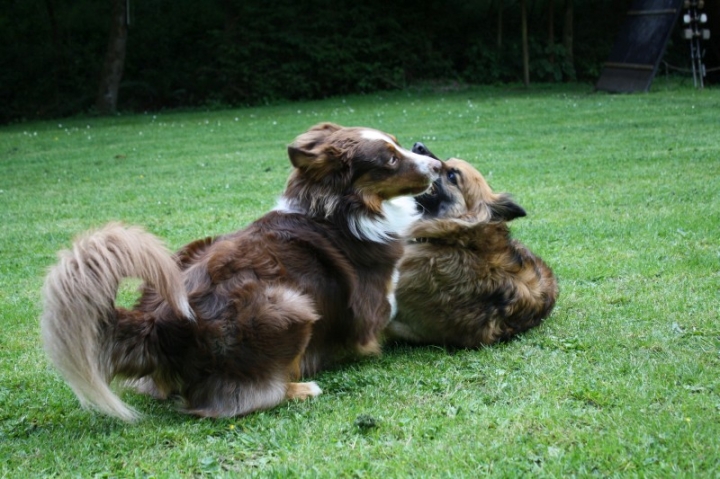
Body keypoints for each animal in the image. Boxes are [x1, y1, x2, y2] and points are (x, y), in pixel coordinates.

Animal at [43, 124, 444, 420]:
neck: (338, 209)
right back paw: (300, 388)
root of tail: (158, 322)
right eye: (390, 159)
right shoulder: (374, 312)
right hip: (288, 304)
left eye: (397, 144)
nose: (438, 165)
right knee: (241, 399)